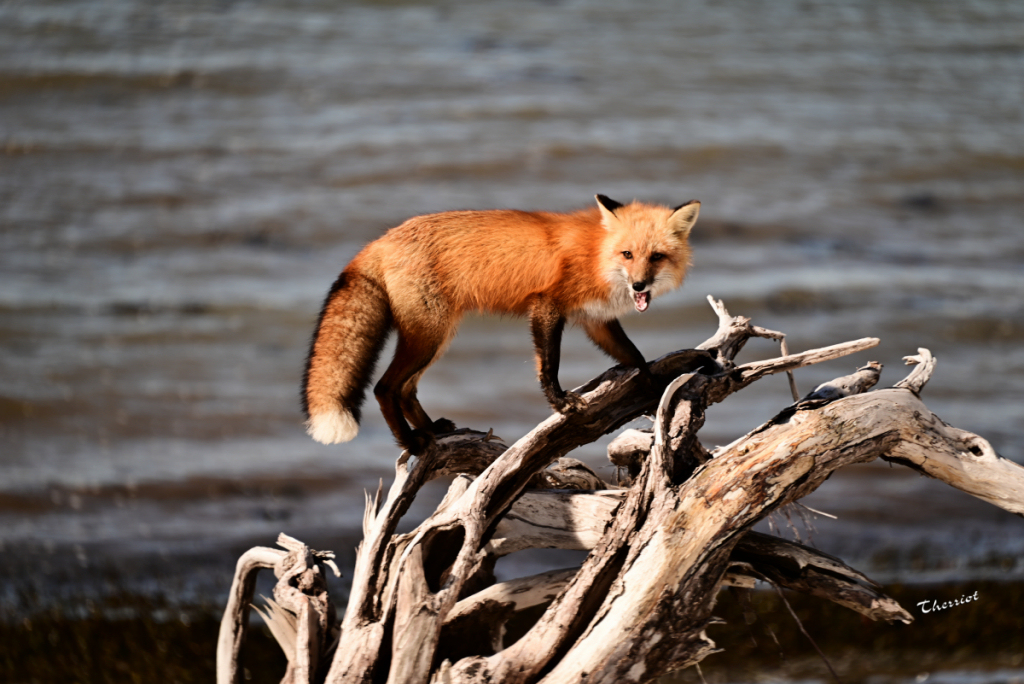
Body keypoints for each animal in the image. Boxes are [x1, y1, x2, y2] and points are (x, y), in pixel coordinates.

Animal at [299, 194, 700, 454]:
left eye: (656, 257)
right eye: (627, 254)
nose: (639, 286)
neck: (596, 254)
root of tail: (380, 240)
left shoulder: (595, 320)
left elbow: (635, 357)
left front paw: (652, 388)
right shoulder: (546, 306)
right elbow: (548, 364)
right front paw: (559, 402)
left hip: (435, 338)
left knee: (406, 389)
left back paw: (430, 429)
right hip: (428, 336)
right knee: (385, 388)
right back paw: (411, 442)